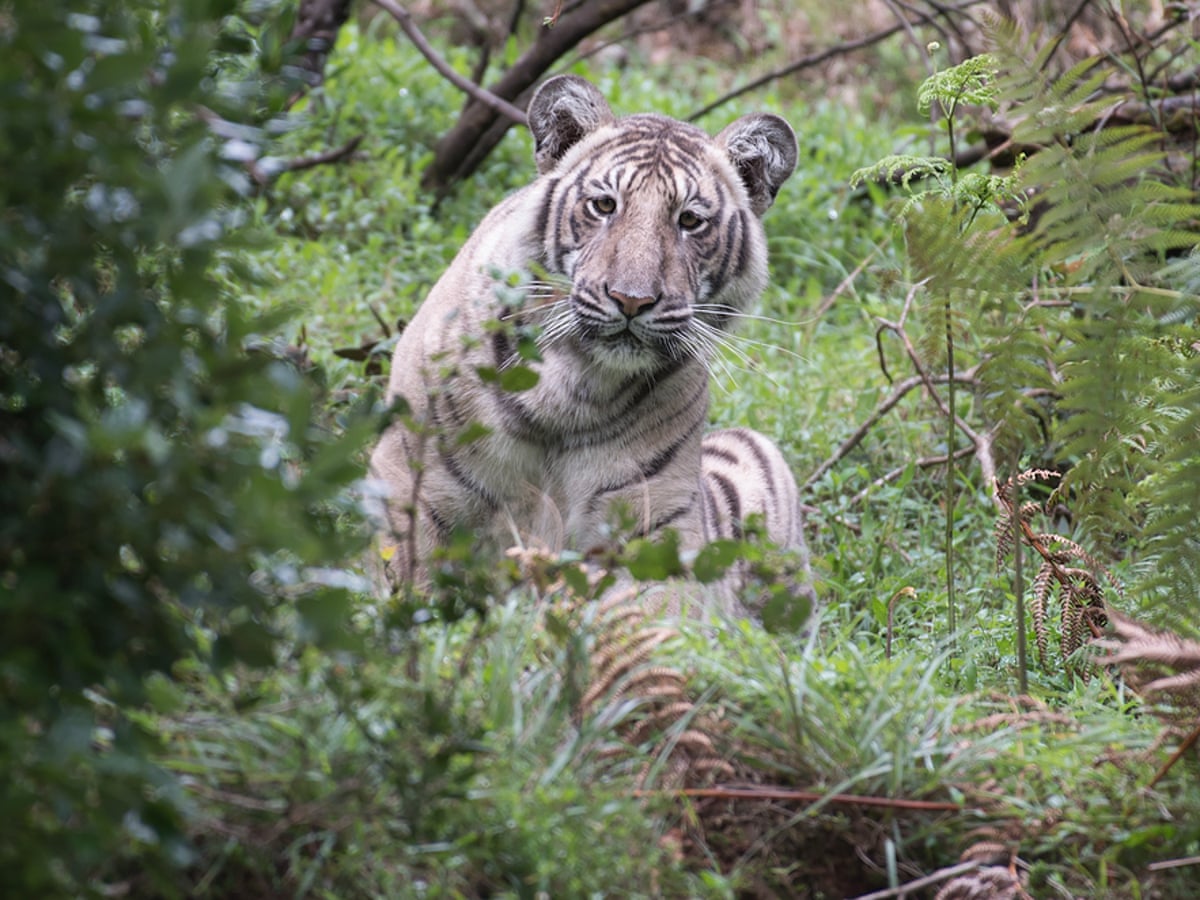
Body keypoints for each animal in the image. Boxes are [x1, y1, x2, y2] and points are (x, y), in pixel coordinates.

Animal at [369, 74, 812, 615]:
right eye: (604, 206)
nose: (632, 299)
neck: (571, 385)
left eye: (690, 221)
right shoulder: (413, 478)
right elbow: (404, 583)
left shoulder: (653, 524)